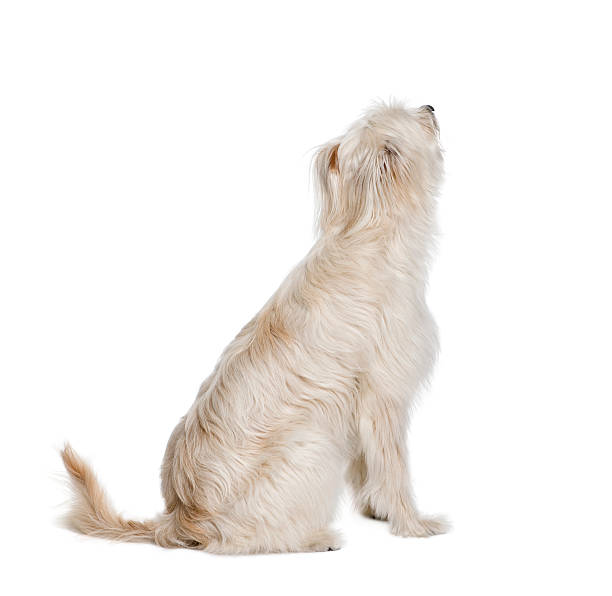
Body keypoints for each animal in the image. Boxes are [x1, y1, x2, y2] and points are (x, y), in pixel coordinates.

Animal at [59, 102, 448, 556]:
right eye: (406, 114)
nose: (430, 107)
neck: (368, 232)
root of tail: (180, 518)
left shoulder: (362, 409)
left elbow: (368, 468)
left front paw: (377, 511)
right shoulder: (383, 400)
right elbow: (395, 468)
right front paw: (413, 524)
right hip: (311, 446)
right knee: (244, 540)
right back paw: (315, 538)